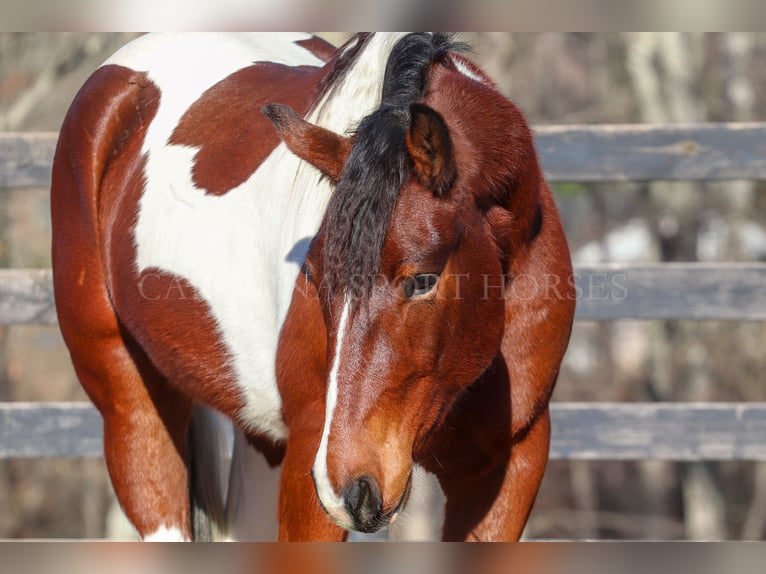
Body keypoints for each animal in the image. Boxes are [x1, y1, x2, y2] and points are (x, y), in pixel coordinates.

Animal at [49, 32, 576, 544]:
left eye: (424, 279)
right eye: (316, 278)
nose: (352, 490)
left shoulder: (508, 465)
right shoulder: (310, 461)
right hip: (134, 414)